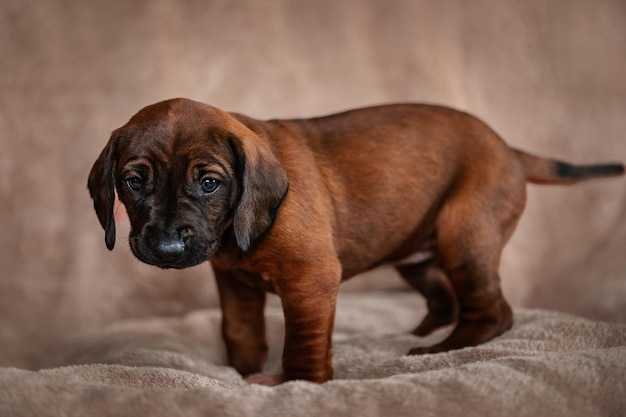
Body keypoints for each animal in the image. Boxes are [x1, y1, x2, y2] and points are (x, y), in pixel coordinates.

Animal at [88, 97, 620, 384]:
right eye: (133, 182)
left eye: (209, 183)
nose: (166, 249)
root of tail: (507, 148)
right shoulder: (235, 285)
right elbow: (240, 333)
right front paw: (240, 373)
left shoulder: (311, 280)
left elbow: (303, 345)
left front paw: (299, 385)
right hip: (417, 252)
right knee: (444, 299)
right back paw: (419, 335)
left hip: (463, 237)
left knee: (492, 311)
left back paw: (443, 349)